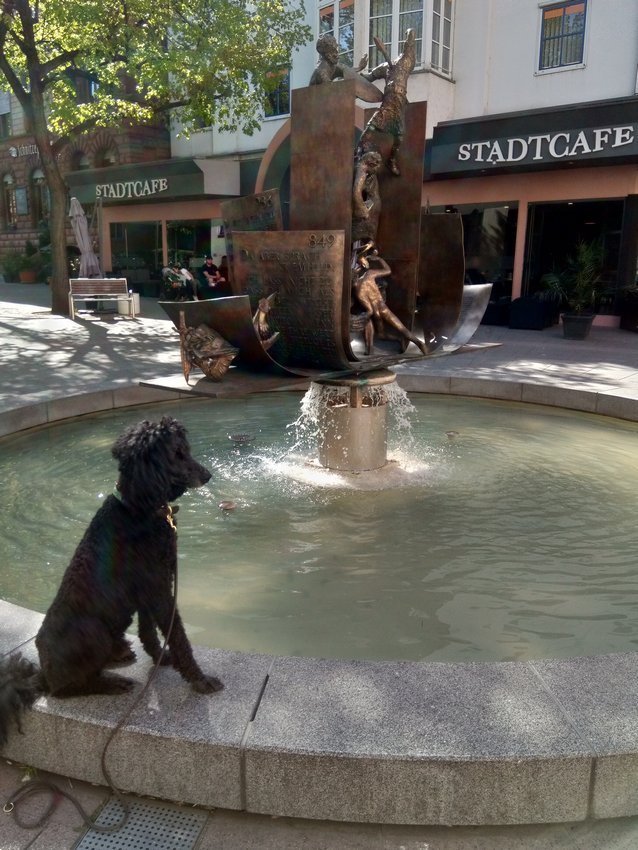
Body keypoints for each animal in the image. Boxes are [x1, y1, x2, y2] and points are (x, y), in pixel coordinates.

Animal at [0, 416, 222, 744]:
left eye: (186, 449)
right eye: (177, 453)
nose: (207, 475)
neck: (138, 507)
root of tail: (44, 674)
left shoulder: (148, 588)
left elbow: (148, 631)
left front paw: (161, 658)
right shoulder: (158, 588)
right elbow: (178, 637)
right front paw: (200, 680)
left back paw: (119, 655)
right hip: (92, 631)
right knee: (68, 688)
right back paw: (111, 683)